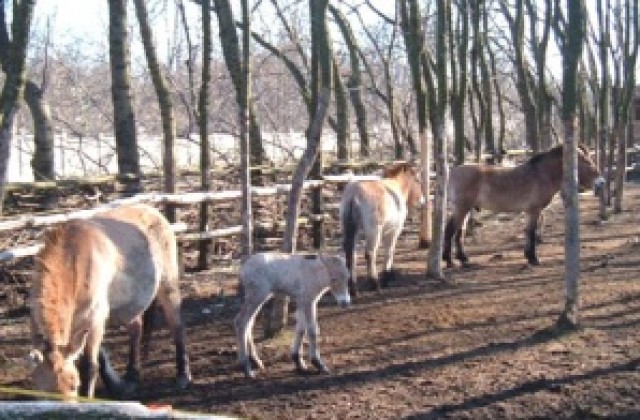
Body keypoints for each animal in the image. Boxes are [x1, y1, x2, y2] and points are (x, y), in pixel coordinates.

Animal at [28, 205, 190, 398]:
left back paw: (183, 376)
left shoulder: (95, 320)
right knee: (136, 330)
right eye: (42, 391)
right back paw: (132, 377)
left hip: (168, 285)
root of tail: (153, 211)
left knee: (176, 326)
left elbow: (89, 366)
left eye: (74, 385)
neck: (73, 261)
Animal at [340, 162, 424, 296]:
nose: (422, 201)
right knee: (370, 254)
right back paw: (374, 284)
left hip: (354, 232)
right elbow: (389, 251)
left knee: (351, 254)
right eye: (418, 180)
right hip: (374, 233)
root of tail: (354, 195)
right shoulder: (393, 231)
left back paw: (353, 289)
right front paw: (386, 278)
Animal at [442, 144, 604, 268]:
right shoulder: (534, 210)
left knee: (459, 233)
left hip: (465, 210)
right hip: (461, 208)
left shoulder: (530, 212)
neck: (541, 174)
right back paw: (449, 261)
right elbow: (531, 232)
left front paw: (528, 256)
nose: (601, 183)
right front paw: (533, 259)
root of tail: (452, 171)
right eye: (585, 161)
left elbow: (528, 232)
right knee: (450, 231)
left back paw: (463, 259)